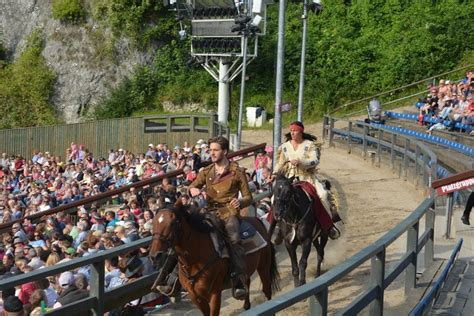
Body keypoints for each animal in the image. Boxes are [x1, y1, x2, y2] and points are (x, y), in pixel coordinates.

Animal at [150, 205, 280, 316]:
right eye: (154, 223)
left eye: (173, 223)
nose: (155, 255)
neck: (195, 260)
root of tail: (257, 220)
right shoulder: (195, 297)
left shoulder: (214, 294)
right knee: (246, 282)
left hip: (264, 266)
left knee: (267, 291)